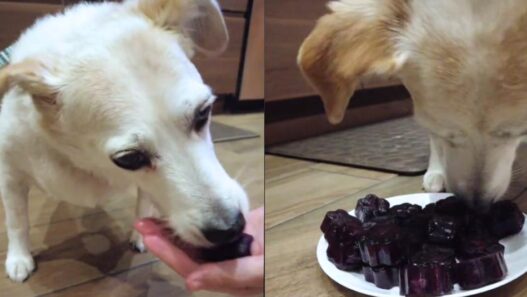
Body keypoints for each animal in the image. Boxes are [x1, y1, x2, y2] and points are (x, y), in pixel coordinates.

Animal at [0, 0, 250, 280]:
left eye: (203, 113)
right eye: (130, 159)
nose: (230, 228)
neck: (85, 163)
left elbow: (144, 204)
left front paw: (139, 235)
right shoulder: (10, 176)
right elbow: (17, 221)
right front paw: (19, 258)